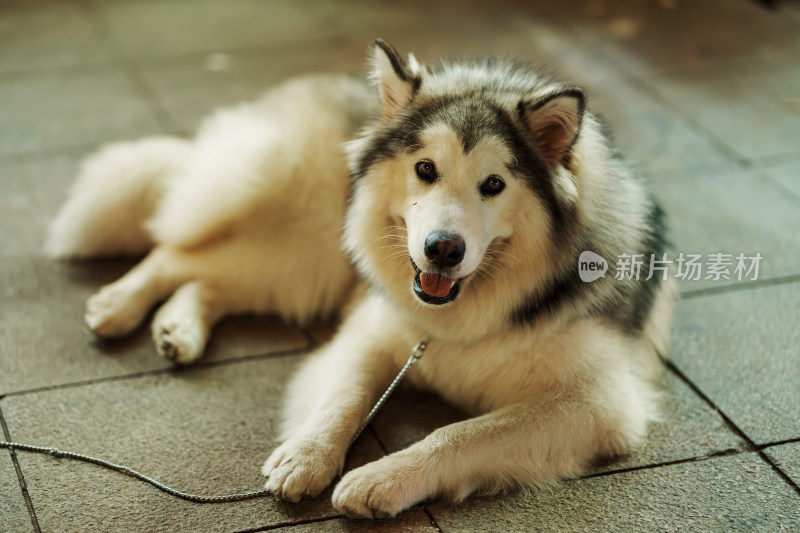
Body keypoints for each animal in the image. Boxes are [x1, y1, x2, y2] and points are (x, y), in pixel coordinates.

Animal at [47, 40, 676, 516]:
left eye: (495, 184)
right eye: (426, 169)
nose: (442, 250)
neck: (458, 314)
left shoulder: (598, 403)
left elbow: (462, 432)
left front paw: (380, 479)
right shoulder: (372, 329)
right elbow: (343, 397)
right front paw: (306, 456)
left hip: (300, 265)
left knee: (209, 277)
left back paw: (178, 329)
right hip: (307, 240)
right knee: (178, 252)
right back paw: (119, 305)